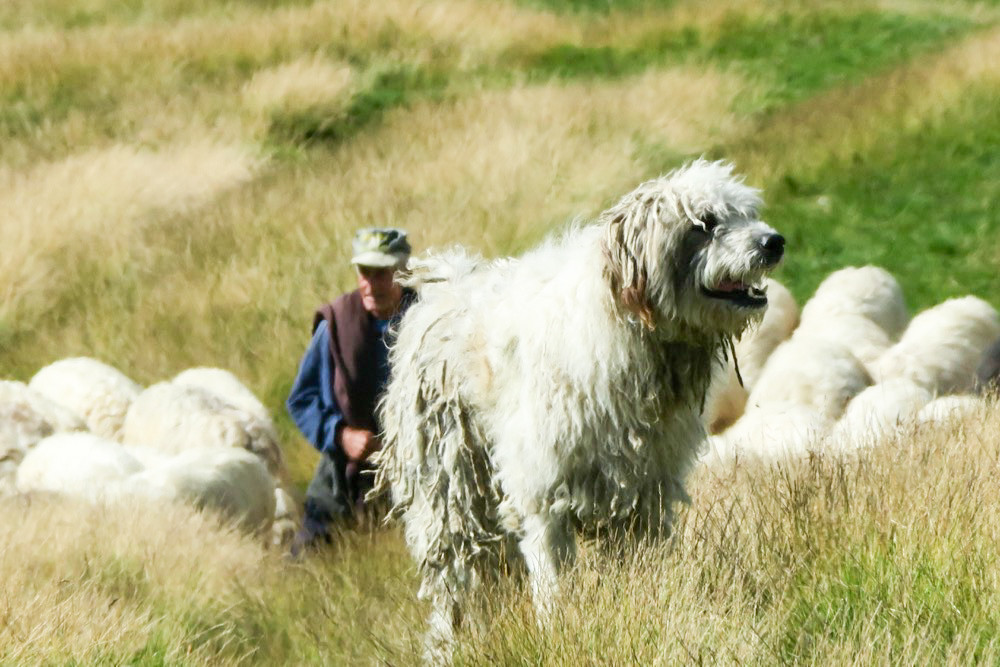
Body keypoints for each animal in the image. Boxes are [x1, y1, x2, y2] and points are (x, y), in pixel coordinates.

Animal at [372, 159, 784, 648]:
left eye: (746, 214)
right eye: (704, 224)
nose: (774, 242)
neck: (627, 328)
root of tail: (442, 286)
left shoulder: (643, 488)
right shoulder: (543, 493)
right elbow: (553, 579)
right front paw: (558, 629)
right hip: (451, 486)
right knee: (455, 579)